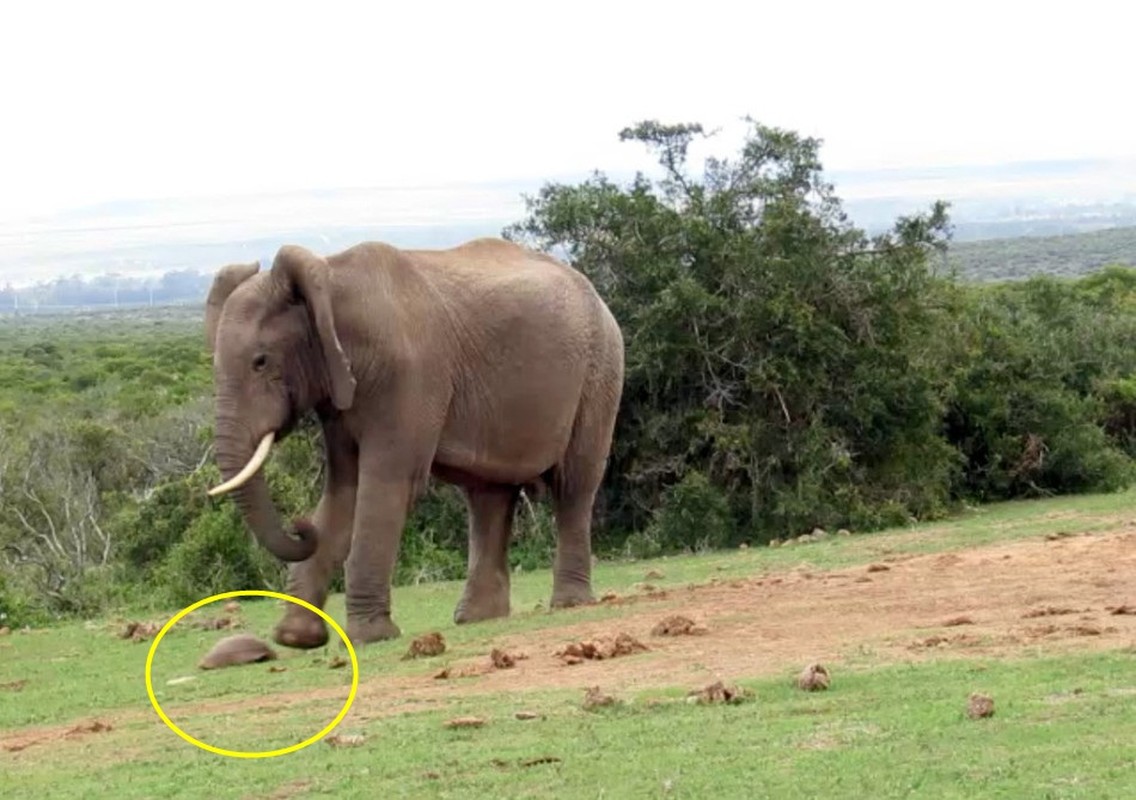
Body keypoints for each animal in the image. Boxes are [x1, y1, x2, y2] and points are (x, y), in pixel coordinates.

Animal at [206, 236, 631, 650]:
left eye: (261, 361)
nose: (299, 525)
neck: (330, 275)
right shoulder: (339, 389)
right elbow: (344, 489)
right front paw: (296, 638)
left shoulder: (408, 374)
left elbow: (387, 485)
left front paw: (370, 637)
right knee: (489, 496)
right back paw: (478, 618)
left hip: (601, 370)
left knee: (574, 485)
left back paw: (569, 603)